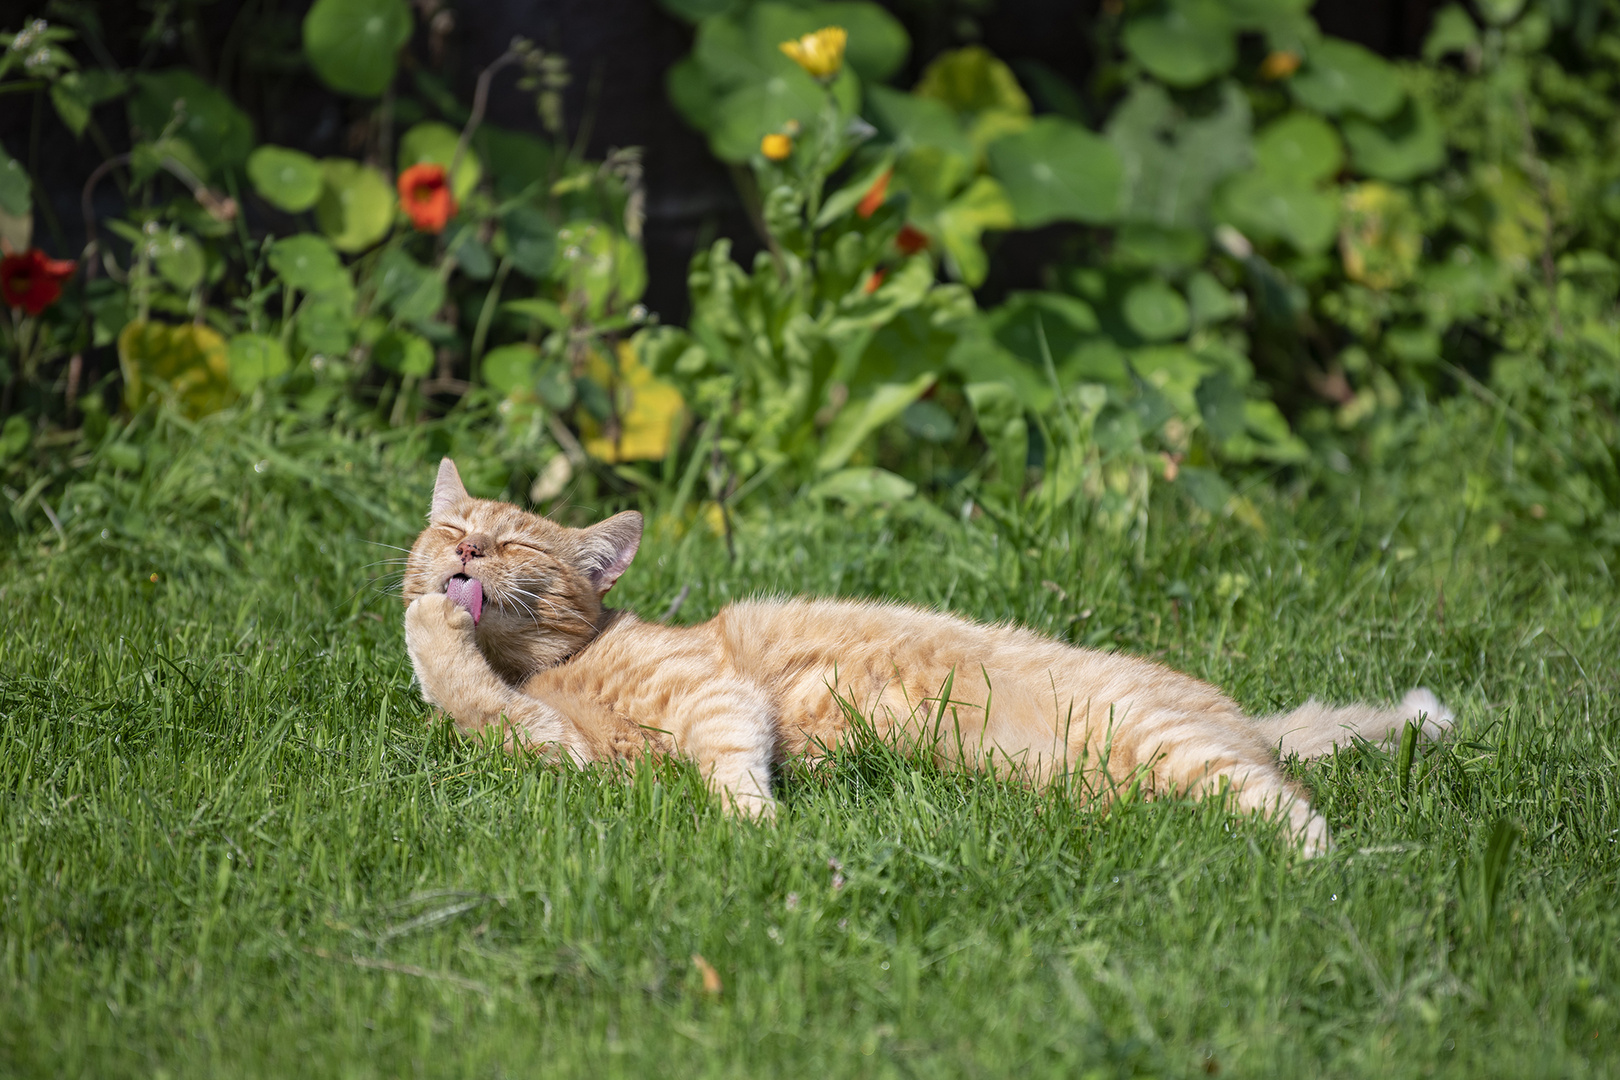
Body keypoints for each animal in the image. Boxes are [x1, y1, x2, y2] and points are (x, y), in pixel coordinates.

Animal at [405, 456, 1458, 854]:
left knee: (1293, 806)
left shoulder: (713, 696)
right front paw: (432, 618)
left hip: (1171, 746)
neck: (554, 664)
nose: (467, 555)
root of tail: (1236, 709)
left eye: (517, 543)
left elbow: (732, 761)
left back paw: (1322, 870)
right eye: (454, 527)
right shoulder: (564, 748)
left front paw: (755, 829)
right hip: (1134, 779)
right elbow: (475, 703)